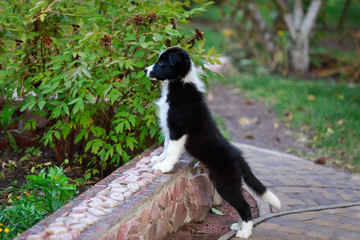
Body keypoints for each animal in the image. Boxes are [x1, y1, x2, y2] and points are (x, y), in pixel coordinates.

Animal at [143, 47, 282, 238]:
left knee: (244, 206)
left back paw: (245, 232)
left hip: (224, 182)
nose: (145, 70)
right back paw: (238, 227)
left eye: (162, 62)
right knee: (240, 204)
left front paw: (164, 167)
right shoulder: (169, 128)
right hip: (231, 183)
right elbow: (165, 145)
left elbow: (171, 149)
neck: (179, 85)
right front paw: (159, 159)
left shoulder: (178, 129)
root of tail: (239, 157)